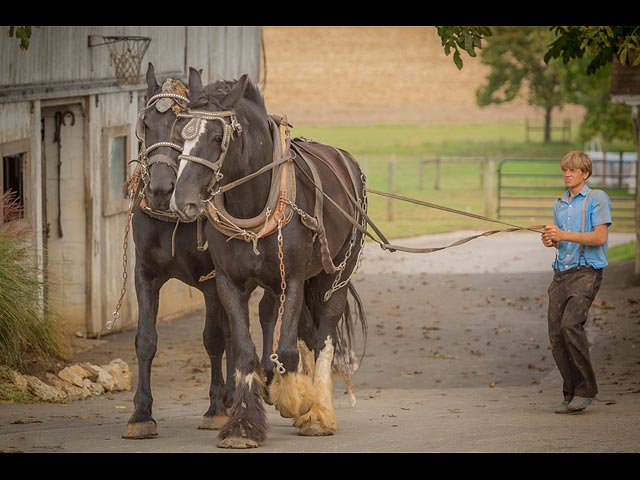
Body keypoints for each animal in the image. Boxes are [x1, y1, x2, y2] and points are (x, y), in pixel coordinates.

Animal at [170, 66, 368, 446]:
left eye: (217, 137)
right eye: (179, 132)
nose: (182, 201)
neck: (253, 200)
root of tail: (345, 160)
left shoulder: (293, 279)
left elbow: (289, 349)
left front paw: (294, 399)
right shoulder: (229, 283)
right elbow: (244, 350)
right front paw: (243, 424)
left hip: (334, 273)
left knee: (324, 335)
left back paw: (318, 412)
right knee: (299, 327)